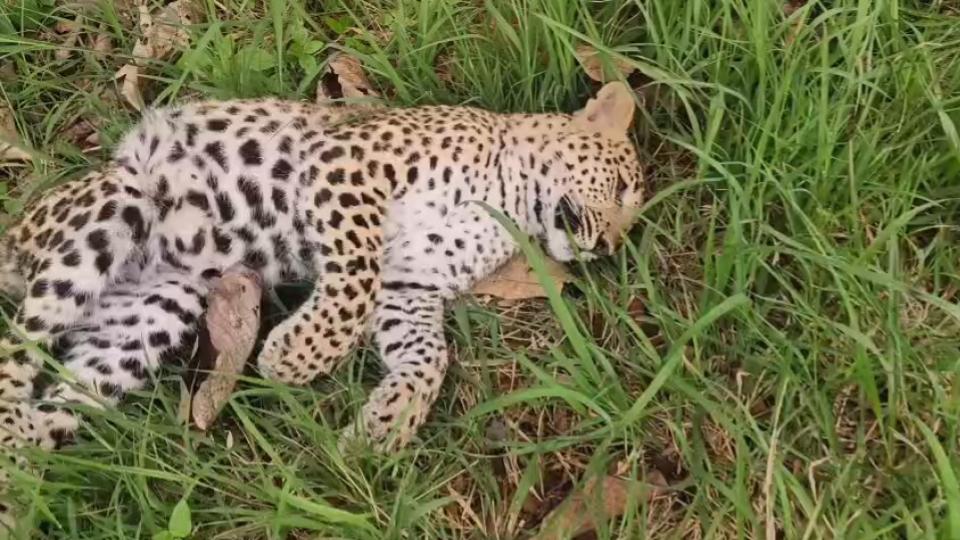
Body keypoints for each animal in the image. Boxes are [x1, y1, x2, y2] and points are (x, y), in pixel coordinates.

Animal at [0, 81, 644, 528]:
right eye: (620, 190)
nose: (610, 246)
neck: (510, 204)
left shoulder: (411, 286)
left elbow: (428, 357)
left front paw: (382, 428)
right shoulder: (351, 166)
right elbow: (355, 273)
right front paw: (295, 356)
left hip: (157, 309)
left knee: (62, 397)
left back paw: (26, 474)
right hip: (116, 203)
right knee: (16, 350)